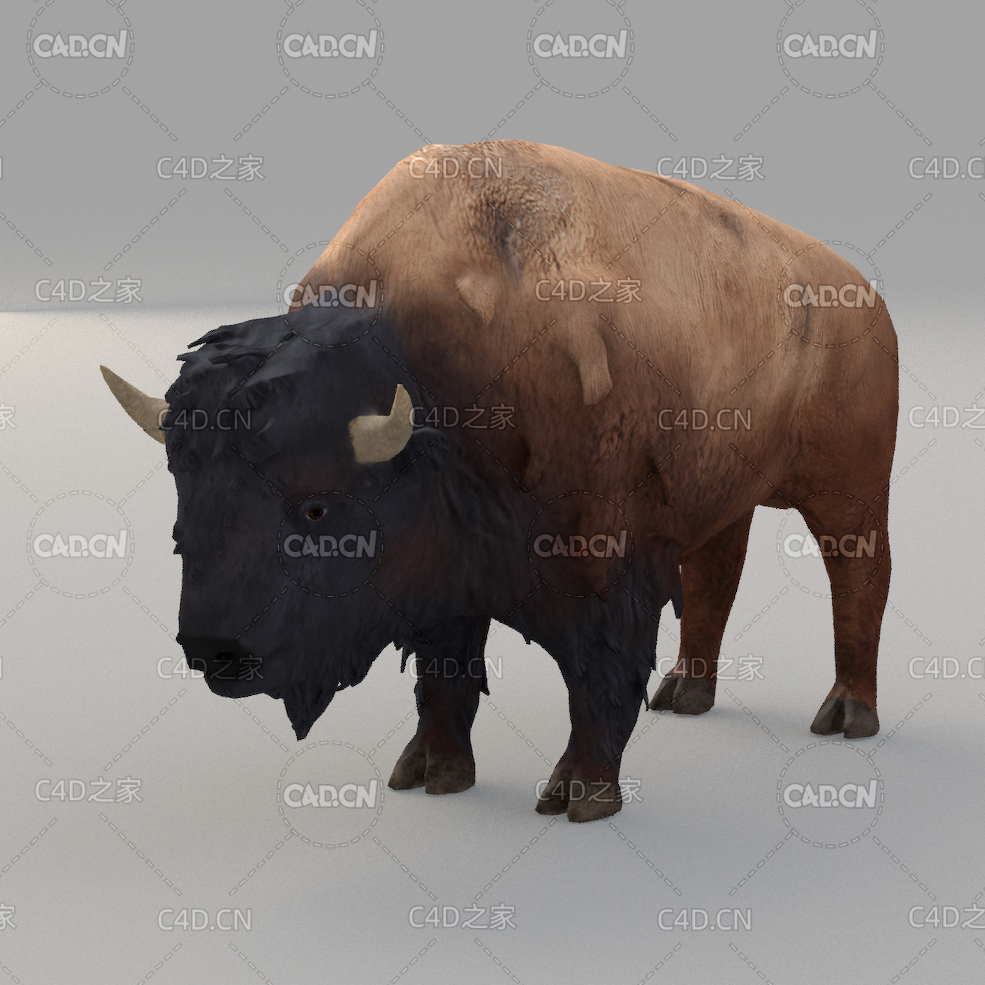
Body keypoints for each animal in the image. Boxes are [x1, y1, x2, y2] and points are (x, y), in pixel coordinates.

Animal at [103, 139, 898, 821]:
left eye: (317, 509)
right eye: (183, 504)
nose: (213, 649)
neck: (424, 387)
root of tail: (862, 293)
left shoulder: (606, 567)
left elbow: (598, 676)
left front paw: (581, 795)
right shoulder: (448, 577)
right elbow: (444, 673)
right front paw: (431, 771)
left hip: (849, 491)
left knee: (859, 578)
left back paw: (848, 714)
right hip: (726, 496)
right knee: (715, 578)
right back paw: (687, 691)